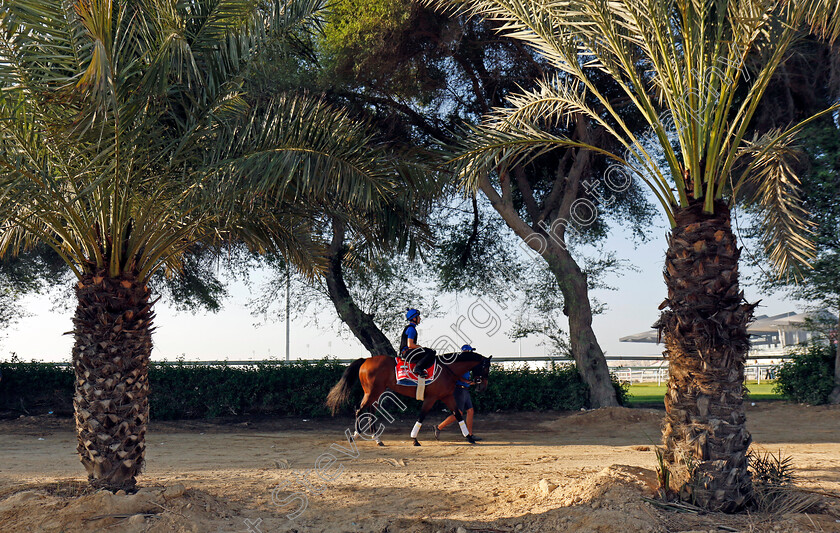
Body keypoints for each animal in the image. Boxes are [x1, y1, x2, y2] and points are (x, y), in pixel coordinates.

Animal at [324, 354, 492, 444]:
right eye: (486, 367)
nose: (483, 387)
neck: (447, 369)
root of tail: (366, 360)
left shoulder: (447, 396)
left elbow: (458, 415)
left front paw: (469, 437)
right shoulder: (431, 398)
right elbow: (421, 416)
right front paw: (414, 439)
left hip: (376, 394)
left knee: (370, 412)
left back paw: (377, 439)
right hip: (371, 393)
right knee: (359, 410)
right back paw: (355, 436)